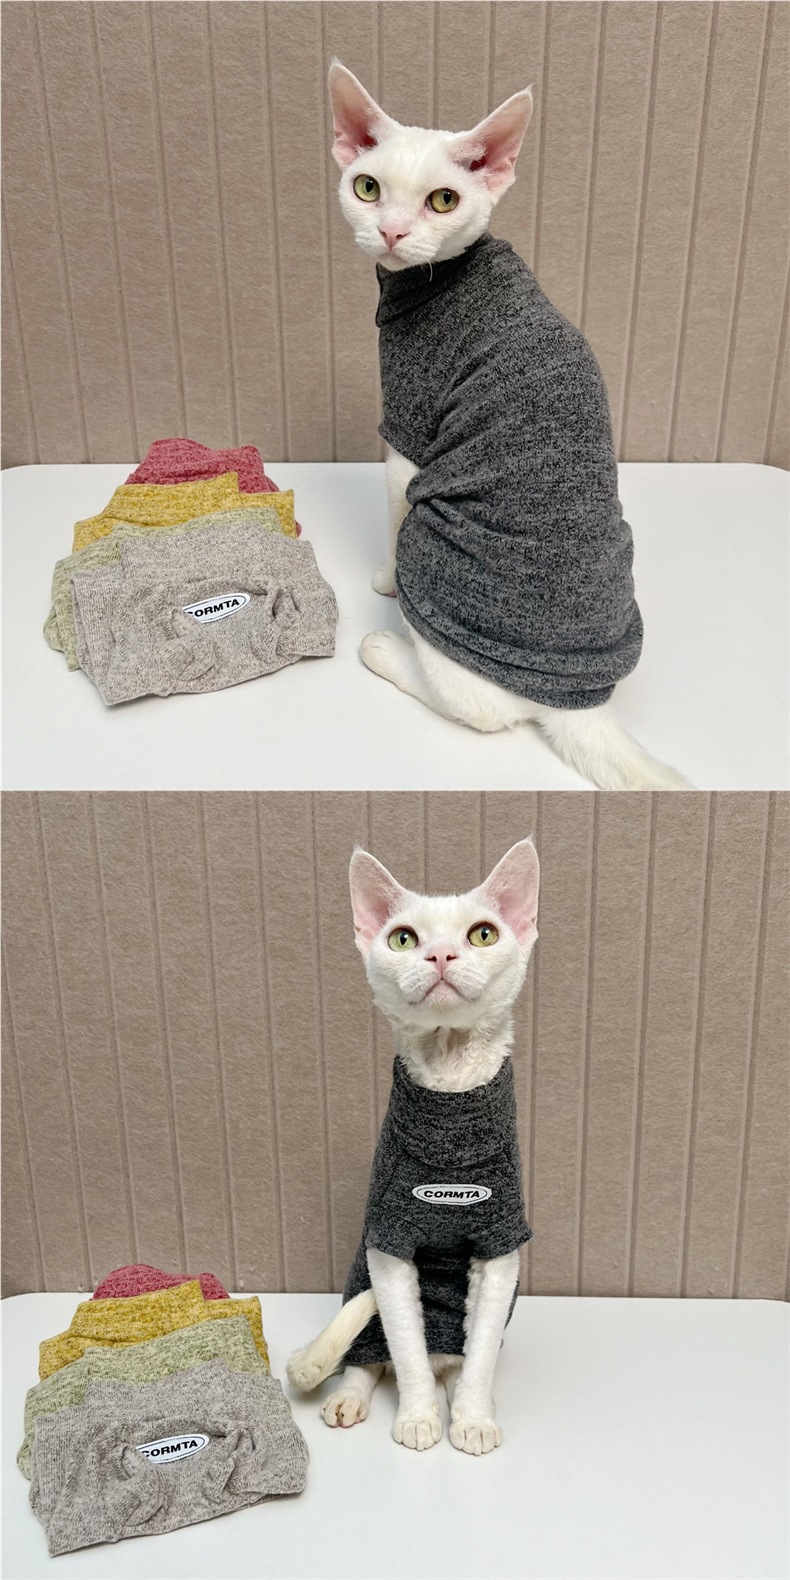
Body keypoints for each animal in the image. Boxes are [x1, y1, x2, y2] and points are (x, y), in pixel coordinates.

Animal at [287, 837, 539, 1456]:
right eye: (403, 939)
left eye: (482, 934)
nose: (441, 955)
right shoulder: (388, 1245)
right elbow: (404, 1346)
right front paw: (419, 1419)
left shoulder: (499, 1246)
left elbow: (479, 1354)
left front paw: (471, 1421)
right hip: (360, 1279)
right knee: (373, 1359)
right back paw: (350, 1399)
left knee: (461, 1359)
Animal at [328, 60, 689, 793]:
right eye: (368, 188)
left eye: (443, 200)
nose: (392, 232)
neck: (438, 279)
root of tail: (576, 705)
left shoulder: (410, 440)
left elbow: (390, 514)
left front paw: (381, 580)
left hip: (434, 539)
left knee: (481, 708)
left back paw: (386, 646)